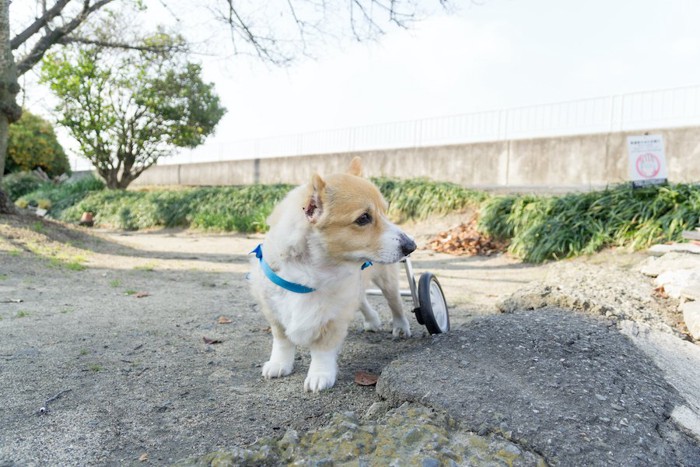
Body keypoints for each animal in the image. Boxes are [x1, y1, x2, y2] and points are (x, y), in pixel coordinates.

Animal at [249, 159, 416, 394]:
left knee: (395, 303)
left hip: (387, 281)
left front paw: (320, 375)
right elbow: (282, 341)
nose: (412, 246)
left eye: (385, 212)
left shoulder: (334, 314)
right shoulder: (273, 310)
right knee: (362, 300)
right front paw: (279, 364)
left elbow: (322, 350)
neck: (312, 267)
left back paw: (401, 327)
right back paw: (372, 320)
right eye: (363, 218)